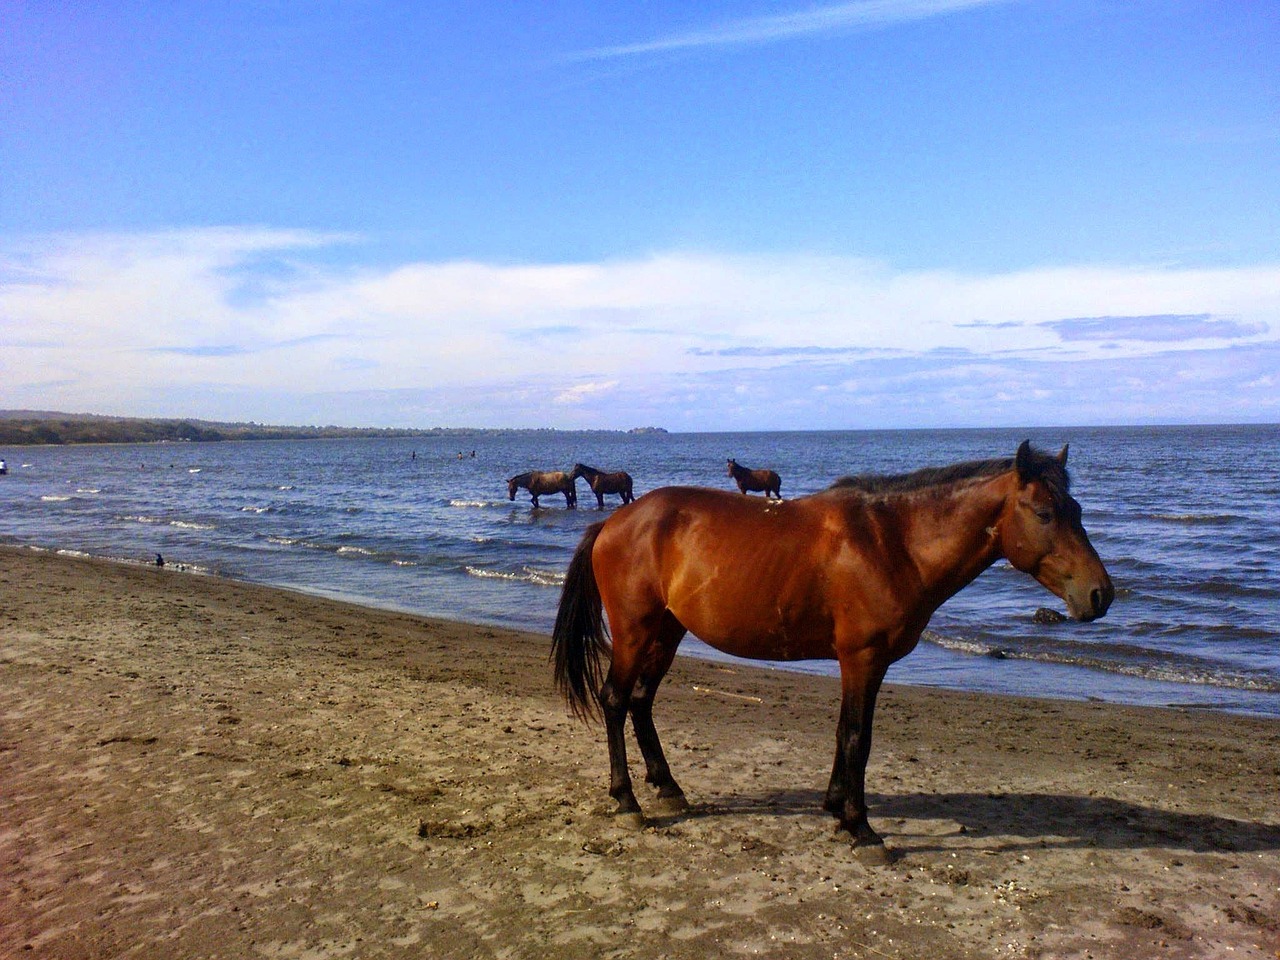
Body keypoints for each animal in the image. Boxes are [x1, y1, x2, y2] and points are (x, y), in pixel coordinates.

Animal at [555, 442, 1116, 865]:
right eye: (1045, 513)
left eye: (1077, 511)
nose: (1100, 595)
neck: (893, 542)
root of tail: (615, 521)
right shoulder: (863, 658)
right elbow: (856, 738)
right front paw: (860, 827)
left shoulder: (863, 662)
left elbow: (848, 733)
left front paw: (836, 810)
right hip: (635, 633)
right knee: (614, 699)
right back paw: (627, 799)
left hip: (667, 632)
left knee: (641, 701)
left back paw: (668, 788)